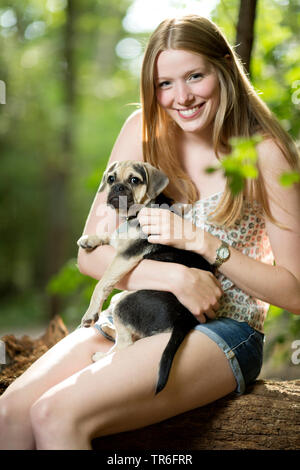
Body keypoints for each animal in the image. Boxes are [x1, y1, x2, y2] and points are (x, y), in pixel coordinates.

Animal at [77, 161, 213, 392]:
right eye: (111, 179)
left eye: (134, 180)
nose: (118, 188)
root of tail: (185, 319)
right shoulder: (122, 246)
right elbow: (112, 235)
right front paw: (90, 239)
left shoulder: (125, 256)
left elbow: (102, 283)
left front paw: (90, 313)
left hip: (125, 302)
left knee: (124, 345)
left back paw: (101, 356)